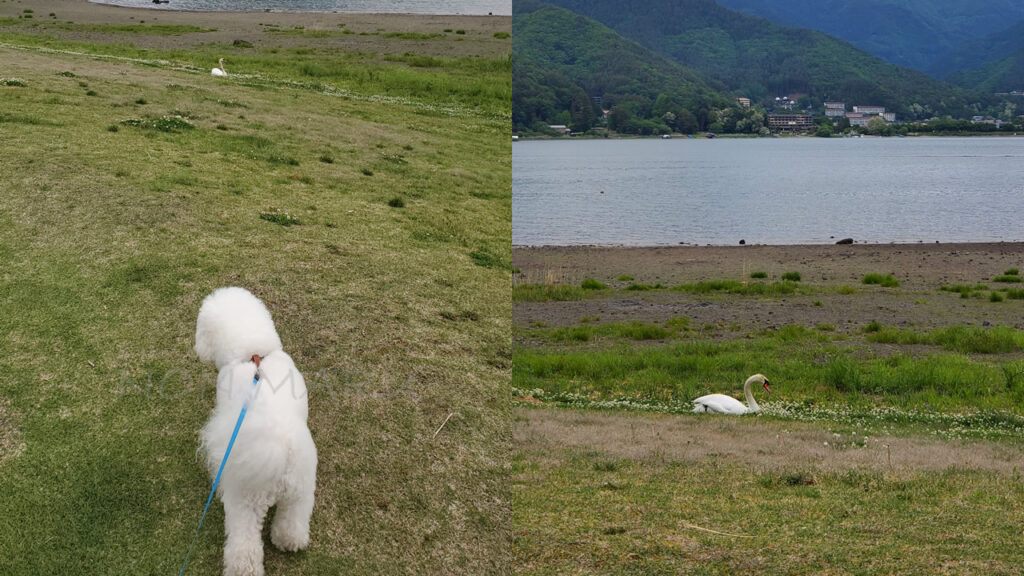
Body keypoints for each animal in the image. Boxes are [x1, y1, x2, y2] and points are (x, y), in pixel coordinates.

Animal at [193, 286, 315, 573]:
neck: (254, 355)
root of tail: (278, 452)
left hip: (243, 499)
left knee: (244, 543)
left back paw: (242, 568)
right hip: (301, 490)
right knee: (293, 521)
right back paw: (288, 542)